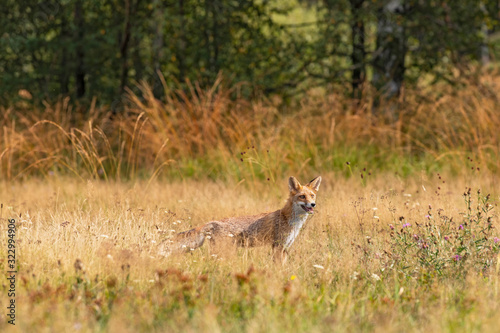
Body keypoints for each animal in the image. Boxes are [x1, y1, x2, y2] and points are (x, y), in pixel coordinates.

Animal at [161, 176, 324, 262]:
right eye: (302, 196)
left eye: (312, 196)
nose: (313, 204)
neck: (289, 220)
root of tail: (212, 223)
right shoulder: (277, 246)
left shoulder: (285, 247)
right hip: (223, 253)